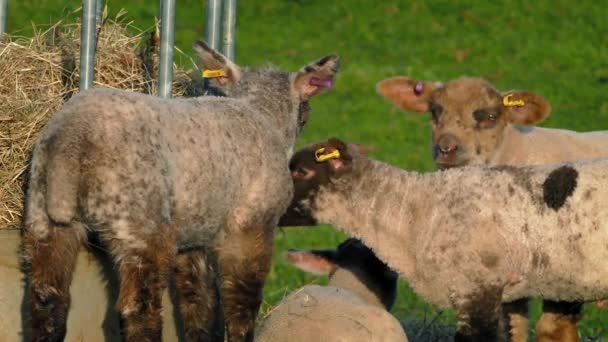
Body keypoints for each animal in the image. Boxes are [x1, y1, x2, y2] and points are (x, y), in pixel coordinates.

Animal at [21, 40, 340, 342]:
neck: (259, 112)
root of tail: (71, 144)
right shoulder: (252, 227)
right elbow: (241, 304)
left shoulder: (194, 237)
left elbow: (200, 304)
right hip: (141, 224)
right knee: (138, 310)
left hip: (43, 216)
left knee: (47, 301)